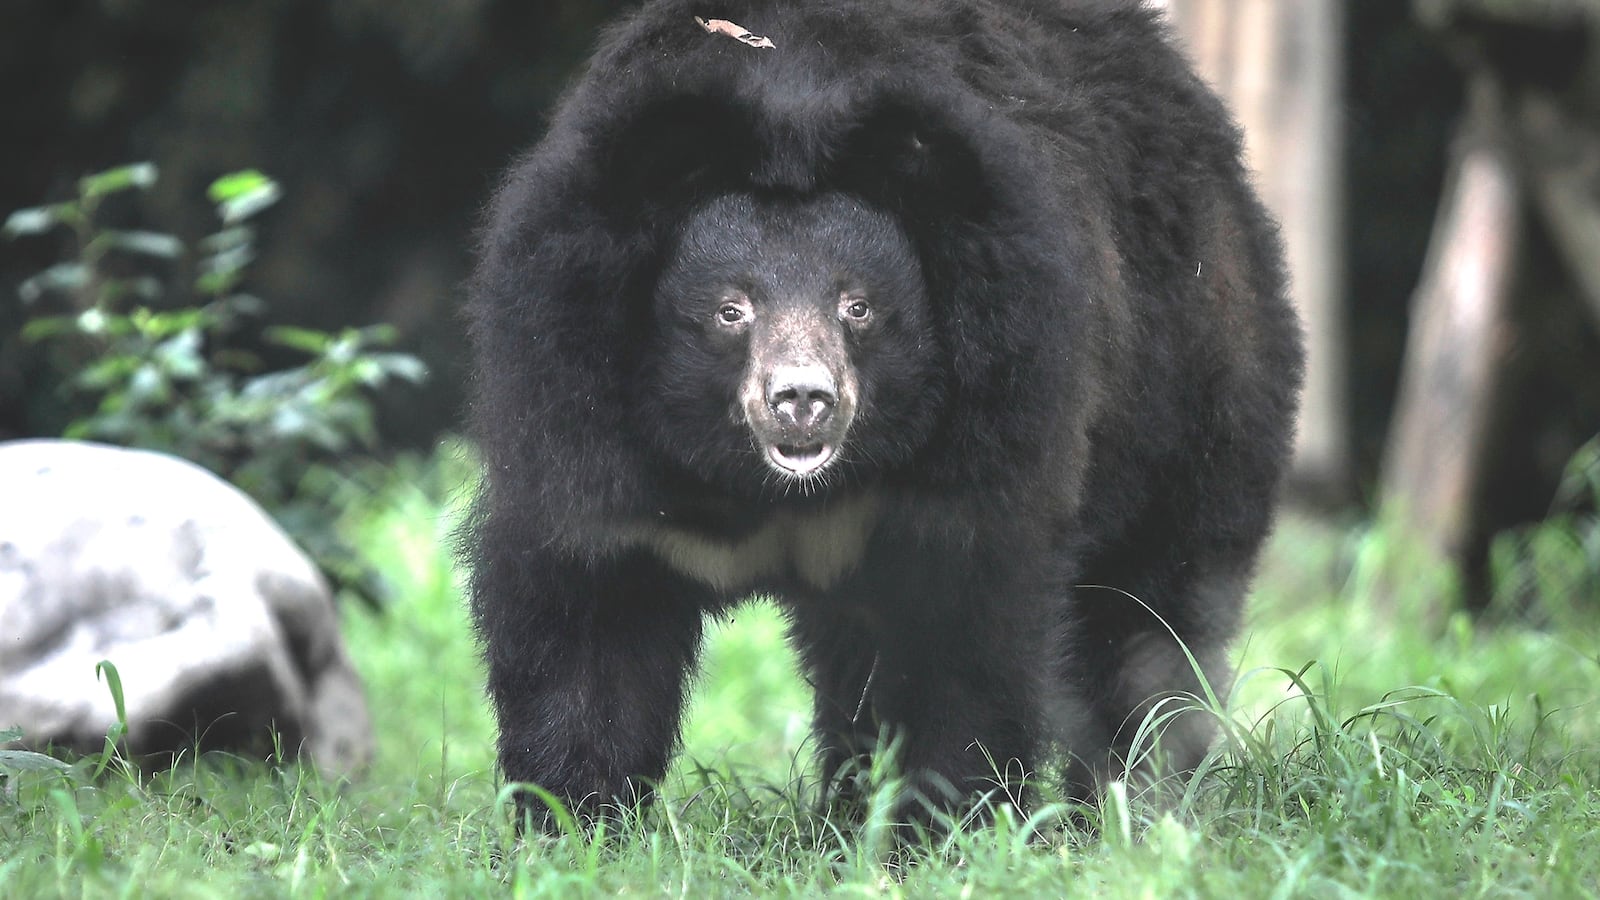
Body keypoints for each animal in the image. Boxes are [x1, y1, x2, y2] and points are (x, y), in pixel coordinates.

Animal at [463, 0, 1303, 831]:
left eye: (857, 305)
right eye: (732, 310)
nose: (802, 401)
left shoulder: (999, 401)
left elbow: (961, 631)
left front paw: (942, 826)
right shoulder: (577, 401)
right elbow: (586, 614)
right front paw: (572, 821)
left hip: (1190, 386)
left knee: (1153, 618)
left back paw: (1132, 806)